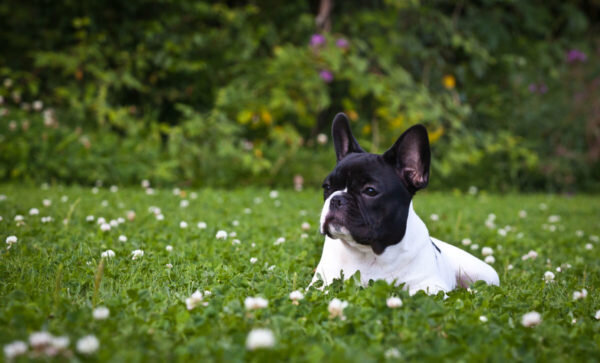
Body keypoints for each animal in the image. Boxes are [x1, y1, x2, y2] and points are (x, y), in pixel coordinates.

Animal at [312, 114, 500, 296]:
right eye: (327, 187)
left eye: (370, 191)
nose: (337, 199)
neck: (369, 252)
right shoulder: (321, 284)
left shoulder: (431, 286)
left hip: (484, 275)